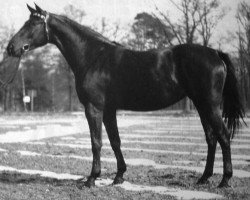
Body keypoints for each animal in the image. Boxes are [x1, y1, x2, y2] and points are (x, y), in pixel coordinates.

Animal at [6, 5, 245, 189]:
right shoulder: (109, 110)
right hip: (201, 105)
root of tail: (215, 53)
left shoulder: (94, 108)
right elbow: (115, 141)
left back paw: (224, 180)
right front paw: (119, 176)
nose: (10, 47)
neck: (93, 56)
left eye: (32, 24)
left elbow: (96, 142)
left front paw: (92, 179)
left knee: (223, 136)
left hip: (210, 105)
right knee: (211, 138)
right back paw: (203, 178)